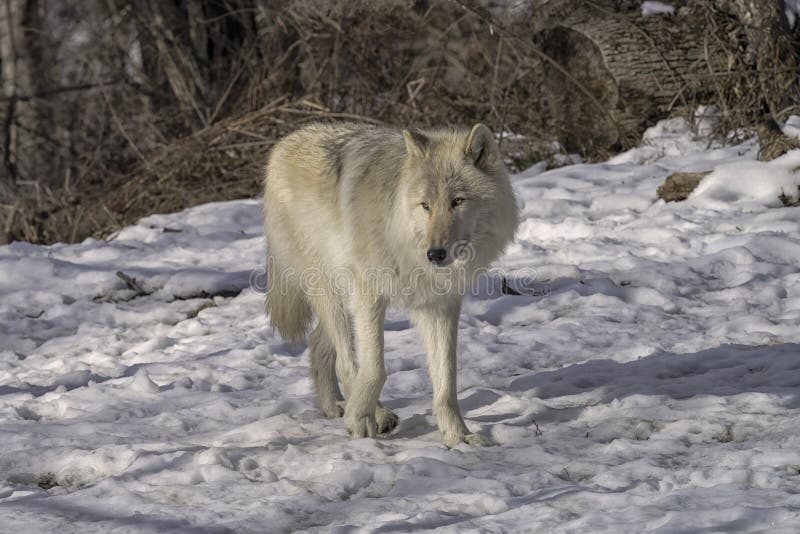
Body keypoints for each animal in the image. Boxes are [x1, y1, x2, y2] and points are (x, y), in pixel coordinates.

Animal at [264, 121, 520, 448]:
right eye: (425, 206)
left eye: (458, 201)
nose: (435, 254)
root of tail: (286, 141)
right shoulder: (369, 295)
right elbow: (375, 368)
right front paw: (360, 420)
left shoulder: (440, 306)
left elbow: (446, 382)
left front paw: (458, 435)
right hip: (332, 292)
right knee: (347, 361)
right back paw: (373, 414)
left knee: (318, 341)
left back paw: (334, 405)